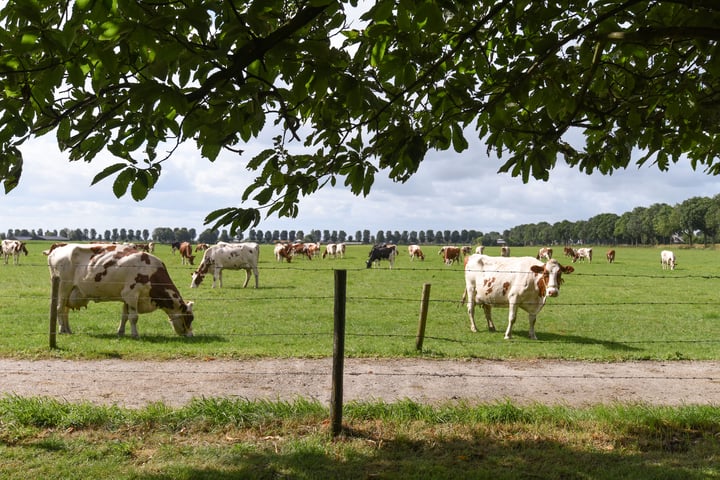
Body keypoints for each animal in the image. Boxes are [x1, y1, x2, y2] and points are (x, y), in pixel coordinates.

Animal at [47, 244, 194, 338]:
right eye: (189, 318)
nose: (191, 335)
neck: (151, 271)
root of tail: (57, 249)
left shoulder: (126, 297)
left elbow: (124, 316)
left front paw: (121, 332)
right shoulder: (132, 294)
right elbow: (134, 317)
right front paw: (135, 334)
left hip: (70, 291)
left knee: (65, 311)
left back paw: (68, 330)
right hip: (63, 287)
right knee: (59, 309)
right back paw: (61, 329)